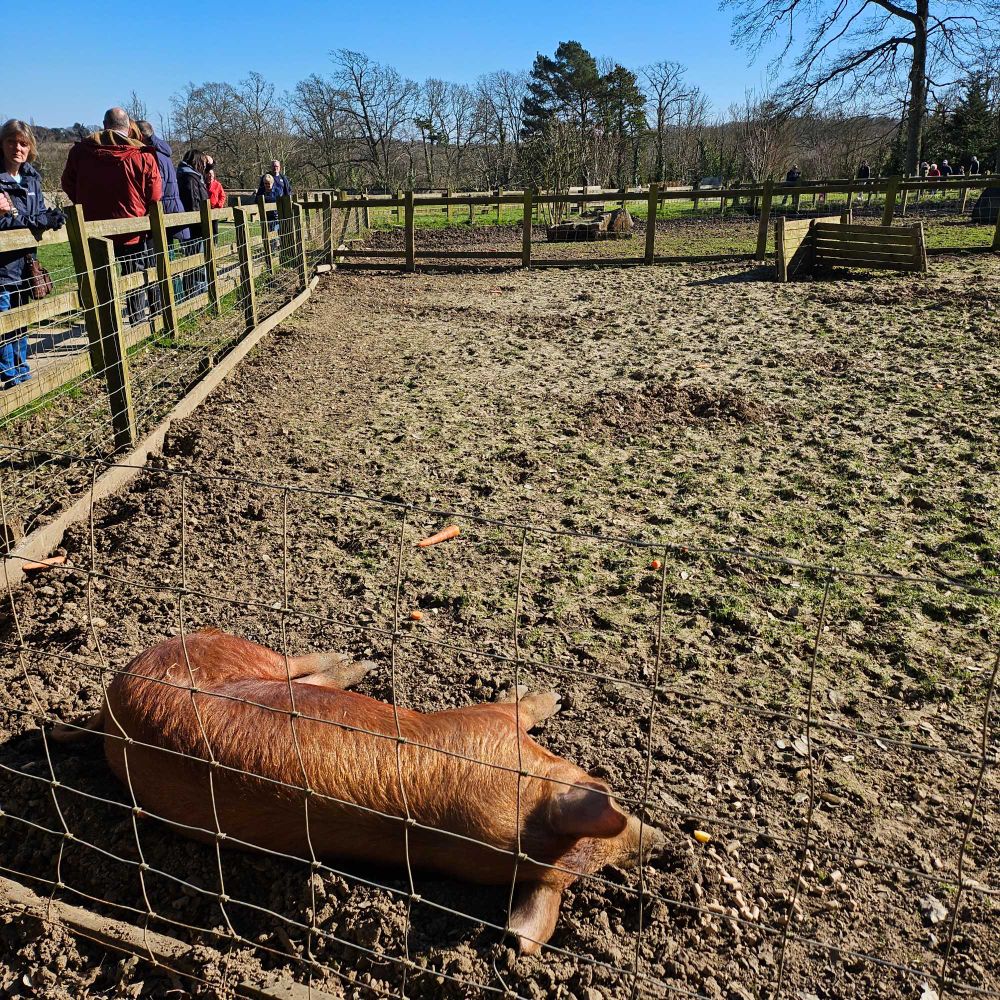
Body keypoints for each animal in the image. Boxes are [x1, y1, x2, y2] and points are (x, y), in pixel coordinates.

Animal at [58, 629, 664, 954]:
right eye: (602, 786)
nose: (664, 843)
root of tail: (110, 708)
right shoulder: (485, 725)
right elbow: (515, 705)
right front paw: (553, 693)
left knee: (303, 676)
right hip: (224, 647)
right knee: (298, 665)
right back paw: (358, 658)